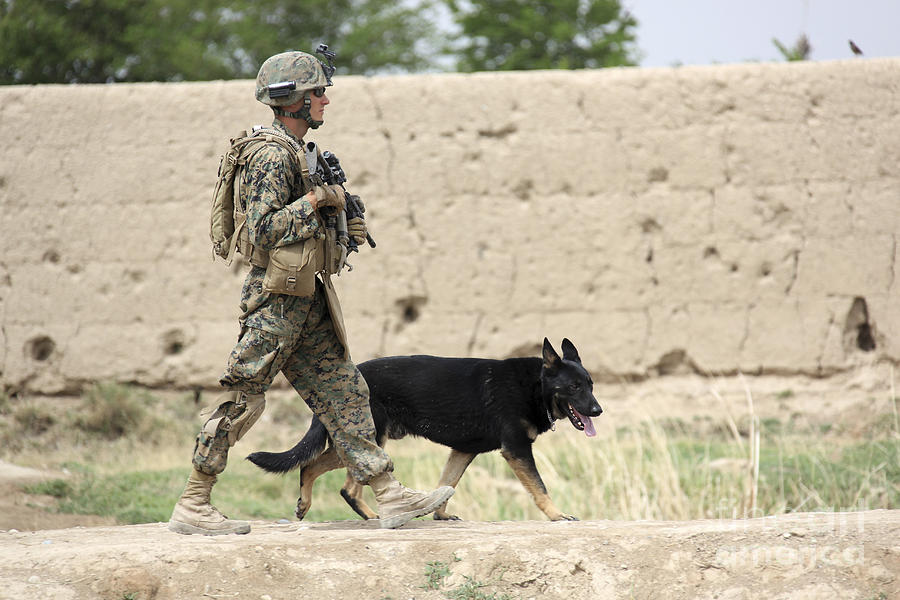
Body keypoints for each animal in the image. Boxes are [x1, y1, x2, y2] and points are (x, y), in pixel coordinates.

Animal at [246, 338, 604, 520]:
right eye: (574, 387)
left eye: (590, 384)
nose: (598, 411)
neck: (536, 386)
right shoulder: (516, 450)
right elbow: (540, 488)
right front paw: (557, 515)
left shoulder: (463, 451)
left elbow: (448, 483)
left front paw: (439, 514)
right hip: (371, 440)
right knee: (342, 483)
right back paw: (372, 516)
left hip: (364, 441)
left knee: (313, 467)